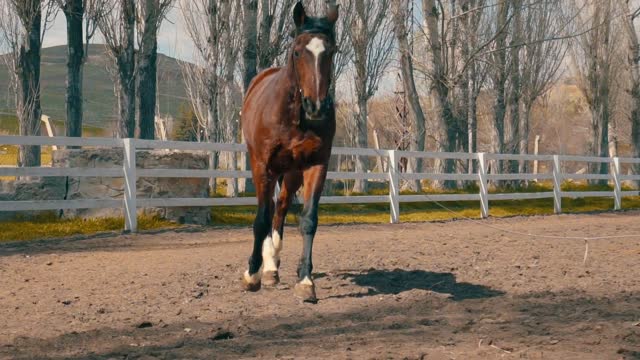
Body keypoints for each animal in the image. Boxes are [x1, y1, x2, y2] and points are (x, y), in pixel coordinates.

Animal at [241, 1, 340, 302]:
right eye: (298, 51)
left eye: (332, 51)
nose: (316, 106)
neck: (293, 116)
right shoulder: (262, 165)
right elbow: (261, 219)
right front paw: (252, 274)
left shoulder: (316, 165)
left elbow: (308, 220)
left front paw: (306, 281)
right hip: (268, 169)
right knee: (270, 210)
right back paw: (264, 267)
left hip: (291, 172)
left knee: (281, 208)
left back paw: (272, 266)